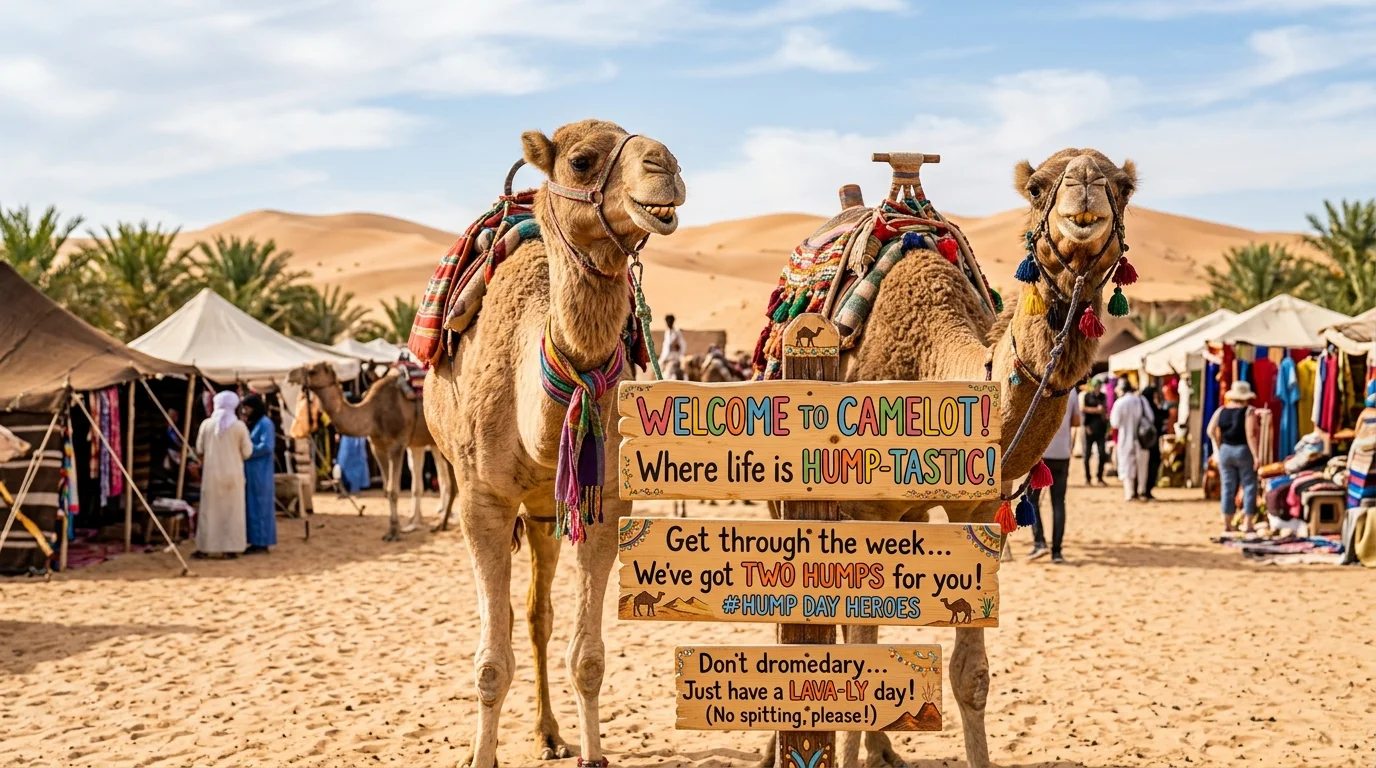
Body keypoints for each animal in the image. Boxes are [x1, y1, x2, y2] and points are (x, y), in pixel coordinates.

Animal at [289, 362, 456, 541]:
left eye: (312, 371)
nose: (290, 374)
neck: (373, 413)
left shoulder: (397, 446)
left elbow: (393, 490)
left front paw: (395, 533)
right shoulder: (378, 448)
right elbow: (387, 490)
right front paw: (392, 529)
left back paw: (443, 522)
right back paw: (438, 522)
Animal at [424, 119, 684, 768]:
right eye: (581, 160)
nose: (665, 164)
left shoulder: (604, 501)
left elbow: (587, 658)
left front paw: (592, 752)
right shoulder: (481, 501)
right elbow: (490, 663)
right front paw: (481, 757)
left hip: (546, 509)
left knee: (538, 615)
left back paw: (548, 732)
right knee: (523, 618)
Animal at [763, 149, 1136, 768]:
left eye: (1125, 187)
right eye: (1037, 187)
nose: (1083, 188)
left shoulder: (980, 511)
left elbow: (972, 674)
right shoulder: (863, 512)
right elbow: (856, 657)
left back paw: (882, 750)